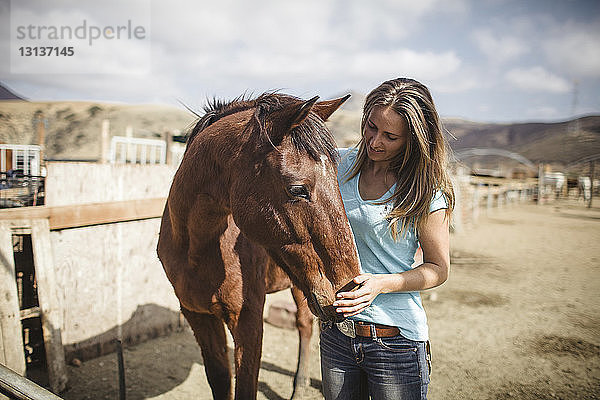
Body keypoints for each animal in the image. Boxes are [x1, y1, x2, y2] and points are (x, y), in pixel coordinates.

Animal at [157, 93, 358, 400]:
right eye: (297, 189)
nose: (351, 286)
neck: (196, 250)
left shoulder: (247, 320)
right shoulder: (197, 315)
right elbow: (220, 379)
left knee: (305, 326)